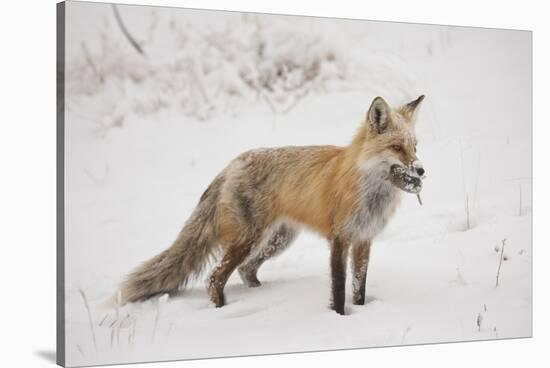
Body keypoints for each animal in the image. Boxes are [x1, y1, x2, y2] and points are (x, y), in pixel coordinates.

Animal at [122, 96, 426, 314]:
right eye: (397, 147)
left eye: (415, 146)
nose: (422, 171)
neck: (370, 191)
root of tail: (233, 163)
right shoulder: (340, 239)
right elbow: (339, 289)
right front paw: (340, 318)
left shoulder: (364, 239)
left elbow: (359, 287)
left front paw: (361, 311)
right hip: (248, 239)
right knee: (215, 278)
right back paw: (220, 310)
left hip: (277, 240)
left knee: (246, 270)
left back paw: (261, 296)